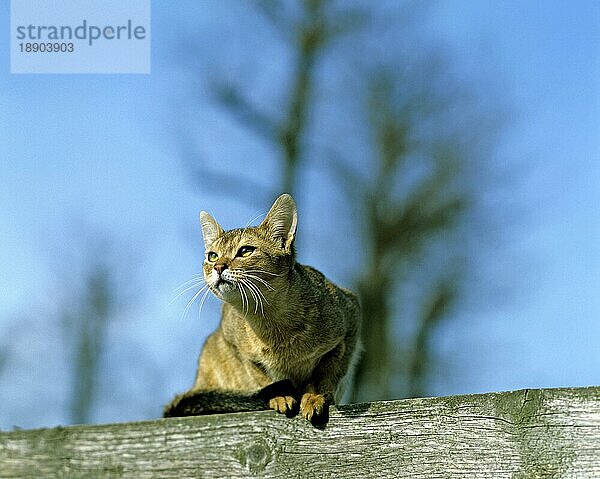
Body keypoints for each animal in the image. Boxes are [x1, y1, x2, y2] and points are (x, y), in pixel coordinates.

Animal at [164, 193, 360, 426]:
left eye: (245, 251)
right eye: (212, 256)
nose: (218, 267)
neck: (271, 320)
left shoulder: (349, 319)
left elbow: (325, 374)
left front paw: (314, 396)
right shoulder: (236, 346)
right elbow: (261, 377)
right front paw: (280, 396)